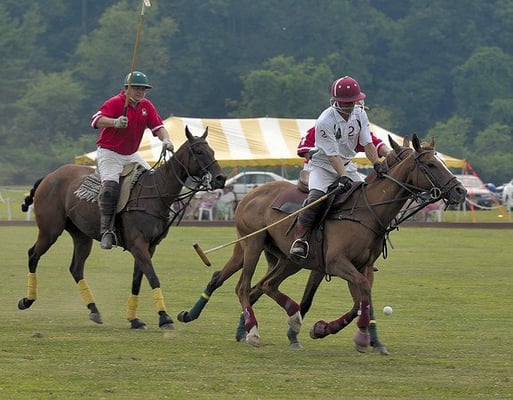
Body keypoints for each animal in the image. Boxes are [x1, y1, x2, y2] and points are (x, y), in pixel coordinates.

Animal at [18, 126, 224, 330]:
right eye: (198, 152)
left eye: (213, 151)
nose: (221, 178)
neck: (156, 193)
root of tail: (48, 176)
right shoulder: (138, 244)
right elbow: (152, 277)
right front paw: (165, 318)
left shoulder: (150, 246)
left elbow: (137, 280)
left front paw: (134, 319)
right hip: (50, 230)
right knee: (33, 254)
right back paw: (27, 300)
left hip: (81, 235)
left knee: (76, 268)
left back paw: (94, 310)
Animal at [179, 134, 464, 346]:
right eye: (430, 165)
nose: (460, 191)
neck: (366, 210)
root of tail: (250, 194)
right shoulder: (336, 262)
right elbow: (356, 295)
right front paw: (357, 337)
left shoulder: (360, 266)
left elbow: (361, 300)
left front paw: (327, 329)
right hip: (253, 244)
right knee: (243, 286)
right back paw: (251, 330)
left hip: (284, 258)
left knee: (256, 283)